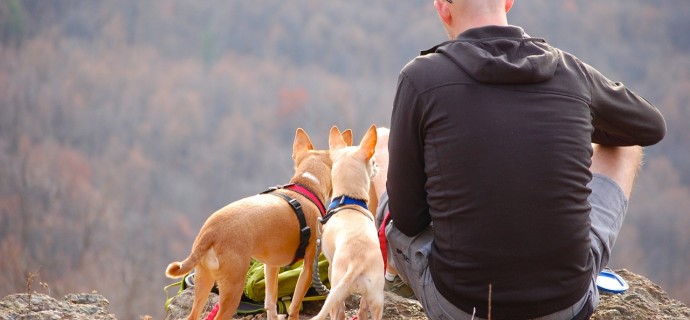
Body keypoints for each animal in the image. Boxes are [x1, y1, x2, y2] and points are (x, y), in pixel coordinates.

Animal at [164, 128, 330, 320]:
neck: (306, 186)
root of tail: (210, 232)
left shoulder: (271, 266)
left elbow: (270, 302)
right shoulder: (309, 265)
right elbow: (295, 304)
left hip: (204, 280)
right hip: (233, 288)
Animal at [312, 125, 388, 320]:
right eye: (373, 162)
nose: (378, 166)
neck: (347, 200)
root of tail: (357, 263)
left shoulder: (330, 265)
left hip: (337, 287)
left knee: (337, 311)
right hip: (376, 296)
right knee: (364, 310)